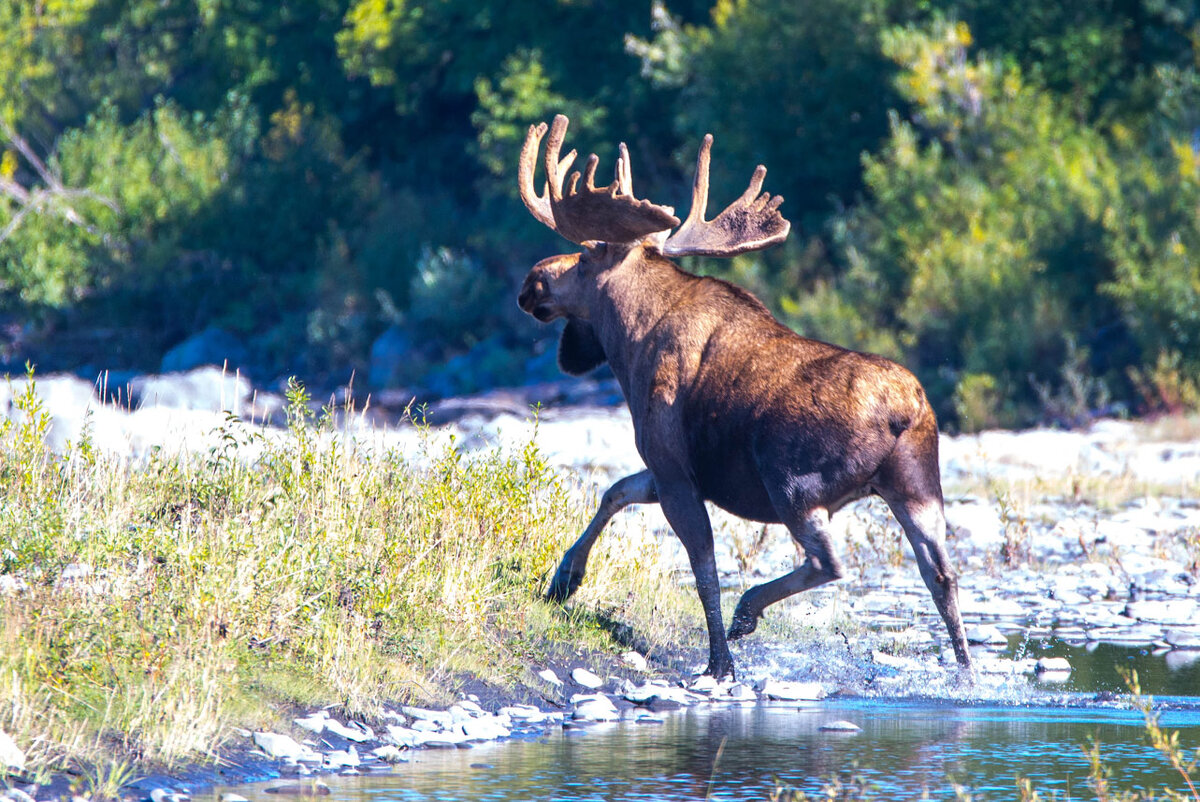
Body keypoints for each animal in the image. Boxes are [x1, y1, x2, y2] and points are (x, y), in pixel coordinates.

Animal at [516, 114, 974, 677]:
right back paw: (967, 671)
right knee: (941, 575)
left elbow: (703, 567)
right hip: (917, 488)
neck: (628, 342)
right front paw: (563, 579)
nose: (531, 281)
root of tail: (906, 411)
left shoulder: (672, 467)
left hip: (795, 484)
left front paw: (720, 663)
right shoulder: (671, 468)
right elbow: (615, 491)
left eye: (584, 254)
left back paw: (747, 612)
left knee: (829, 561)